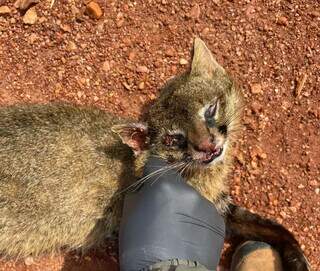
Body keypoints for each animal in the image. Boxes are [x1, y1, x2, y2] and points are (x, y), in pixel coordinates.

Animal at [0, 37, 310, 270]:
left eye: (210, 110)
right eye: (174, 138)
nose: (208, 146)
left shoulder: (222, 206)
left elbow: (273, 227)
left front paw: (297, 258)